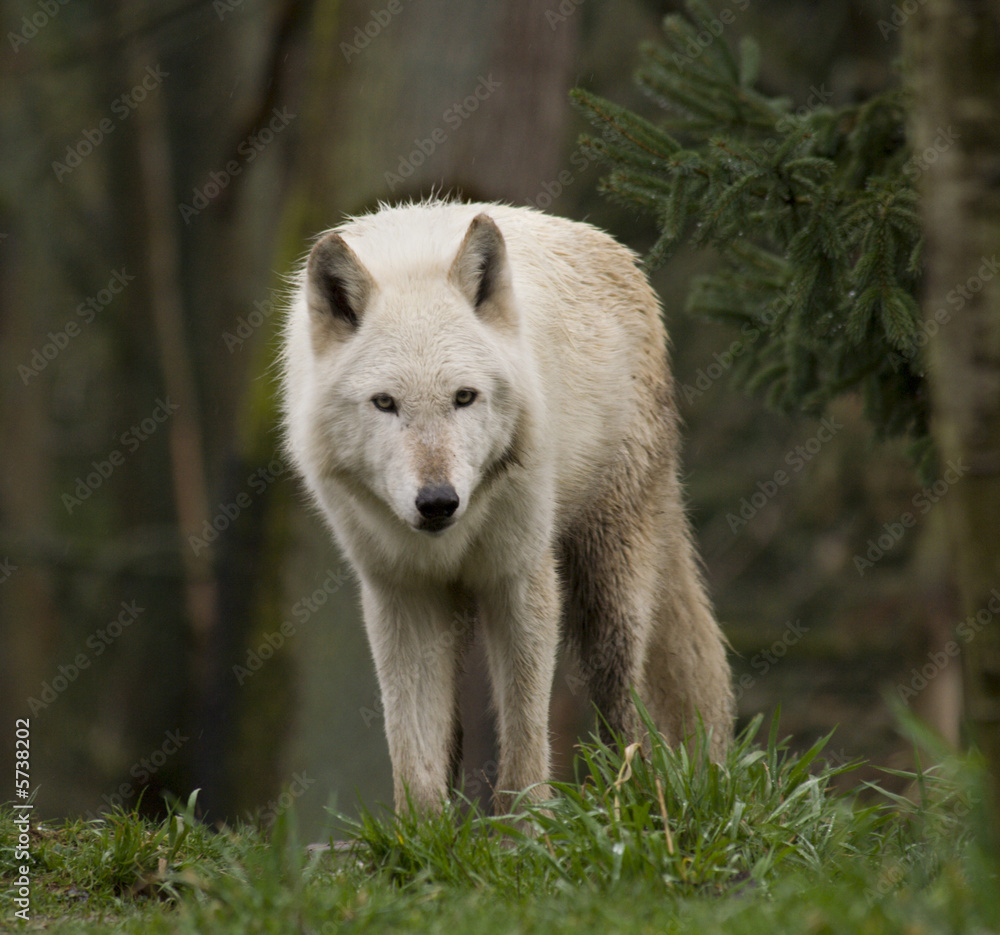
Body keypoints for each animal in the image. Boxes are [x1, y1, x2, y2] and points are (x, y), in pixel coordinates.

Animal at [282, 200, 733, 813]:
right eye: (385, 403)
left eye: (464, 397)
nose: (437, 502)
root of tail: (621, 254)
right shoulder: (402, 593)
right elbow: (415, 758)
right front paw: (421, 835)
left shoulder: (518, 579)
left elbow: (523, 743)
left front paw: (526, 825)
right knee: (451, 735)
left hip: (607, 593)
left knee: (625, 712)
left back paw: (629, 803)